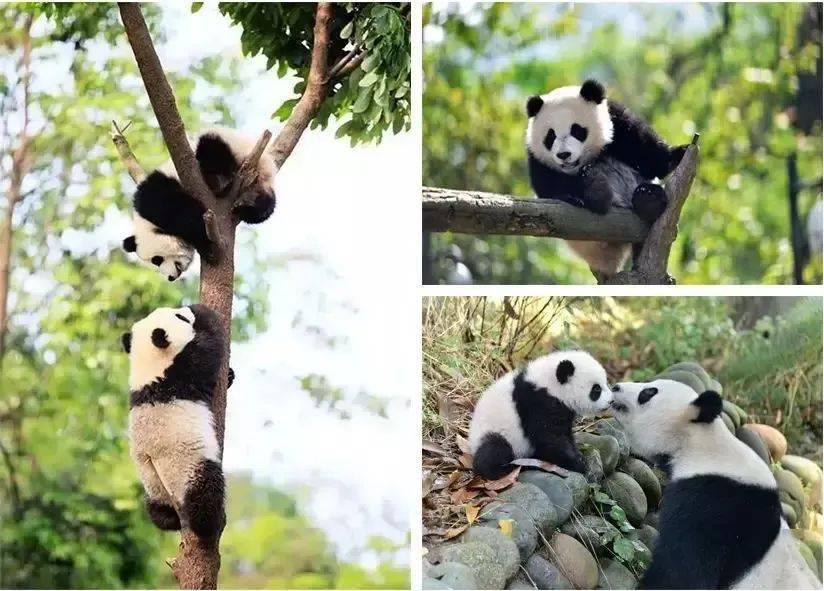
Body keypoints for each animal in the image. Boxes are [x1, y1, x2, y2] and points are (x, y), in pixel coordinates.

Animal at [120, 306, 233, 540]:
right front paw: (204, 313)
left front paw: (230, 375)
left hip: (152, 486)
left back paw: (170, 520)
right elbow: (206, 350)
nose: (185, 310)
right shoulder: (180, 373)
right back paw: (210, 525)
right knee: (205, 495)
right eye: (180, 317)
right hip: (190, 469)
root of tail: (172, 500)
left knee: (156, 511)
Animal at [121, 128, 276, 280]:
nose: (171, 277)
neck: (144, 222)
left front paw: (205, 242)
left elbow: (173, 209)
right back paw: (249, 203)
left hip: (231, 144)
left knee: (211, 147)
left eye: (157, 259)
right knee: (264, 207)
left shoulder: (157, 191)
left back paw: (220, 182)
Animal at [470, 352, 612, 480]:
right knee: (493, 451)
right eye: (596, 389)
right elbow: (549, 437)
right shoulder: (536, 404)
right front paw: (577, 464)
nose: (611, 401)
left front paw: (579, 455)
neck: (549, 385)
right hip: (496, 432)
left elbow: (565, 434)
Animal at [528, 80, 688, 280]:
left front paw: (680, 153)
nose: (564, 155)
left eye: (577, 130)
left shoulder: (618, 123)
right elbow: (546, 185)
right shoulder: (536, 158)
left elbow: (651, 155)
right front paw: (573, 196)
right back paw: (598, 191)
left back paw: (648, 199)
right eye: (550, 136)